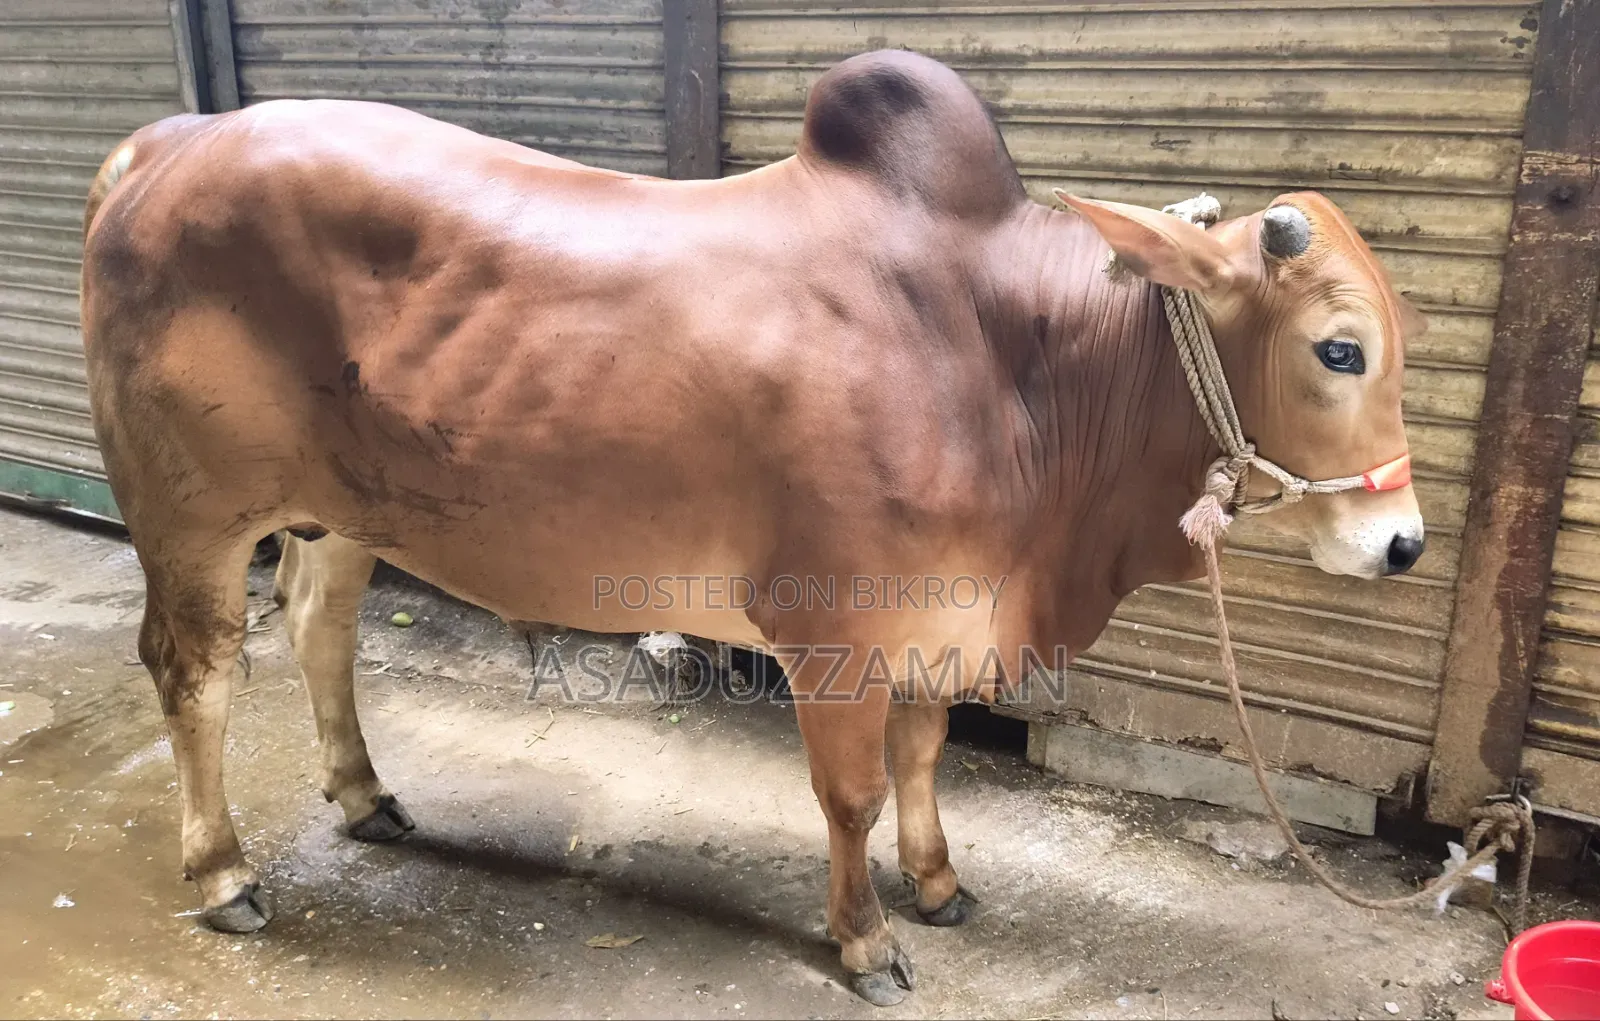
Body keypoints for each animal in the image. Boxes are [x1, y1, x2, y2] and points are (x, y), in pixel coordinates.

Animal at [79, 50, 1424, 1005]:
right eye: (1337, 348)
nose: (1403, 543)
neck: (1014, 365)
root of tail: (163, 144)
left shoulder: (938, 615)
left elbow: (924, 757)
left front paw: (938, 882)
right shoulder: (836, 631)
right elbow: (853, 793)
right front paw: (866, 939)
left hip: (342, 513)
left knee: (318, 628)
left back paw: (364, 797)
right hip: (191, 517)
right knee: (194, 672)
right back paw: (225, 870)